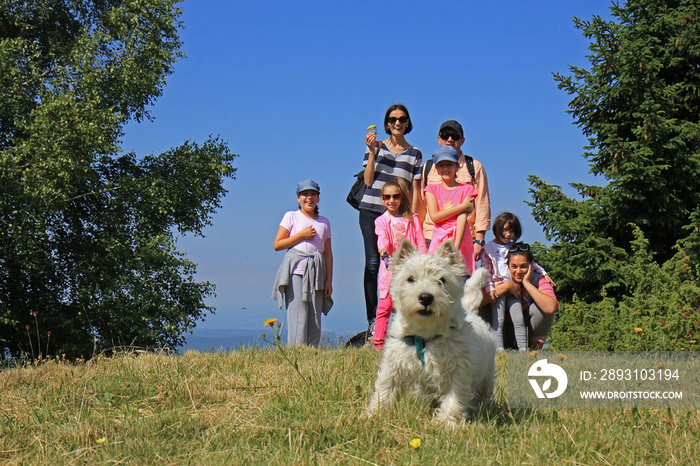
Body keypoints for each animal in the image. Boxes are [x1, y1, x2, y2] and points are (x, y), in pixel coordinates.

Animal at [366, 240, 498, 426]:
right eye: (410, 279)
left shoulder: (458, 370)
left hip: (485, 376)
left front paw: (446, 424)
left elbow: (454, 398)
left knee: (482, 393)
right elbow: (385, 389)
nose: (425, 297)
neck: (425, 335)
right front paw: (373, 414)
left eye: (442, 280)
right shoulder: (394, 365)